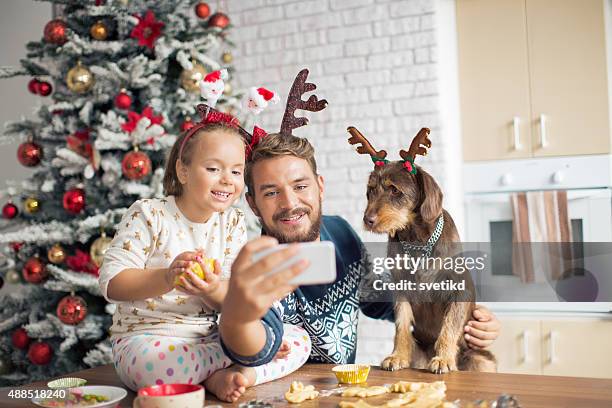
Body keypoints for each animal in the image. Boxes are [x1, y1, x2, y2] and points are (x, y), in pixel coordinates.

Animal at [346, 126, 494, 372]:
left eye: (394, 190)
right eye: (370, 190)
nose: (368, 220)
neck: (417, 242)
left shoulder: (459, 291)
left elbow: (449, 327)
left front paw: (443, 358)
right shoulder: (401, 290)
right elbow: (402, 326)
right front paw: (397, 355)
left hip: (482, 361)